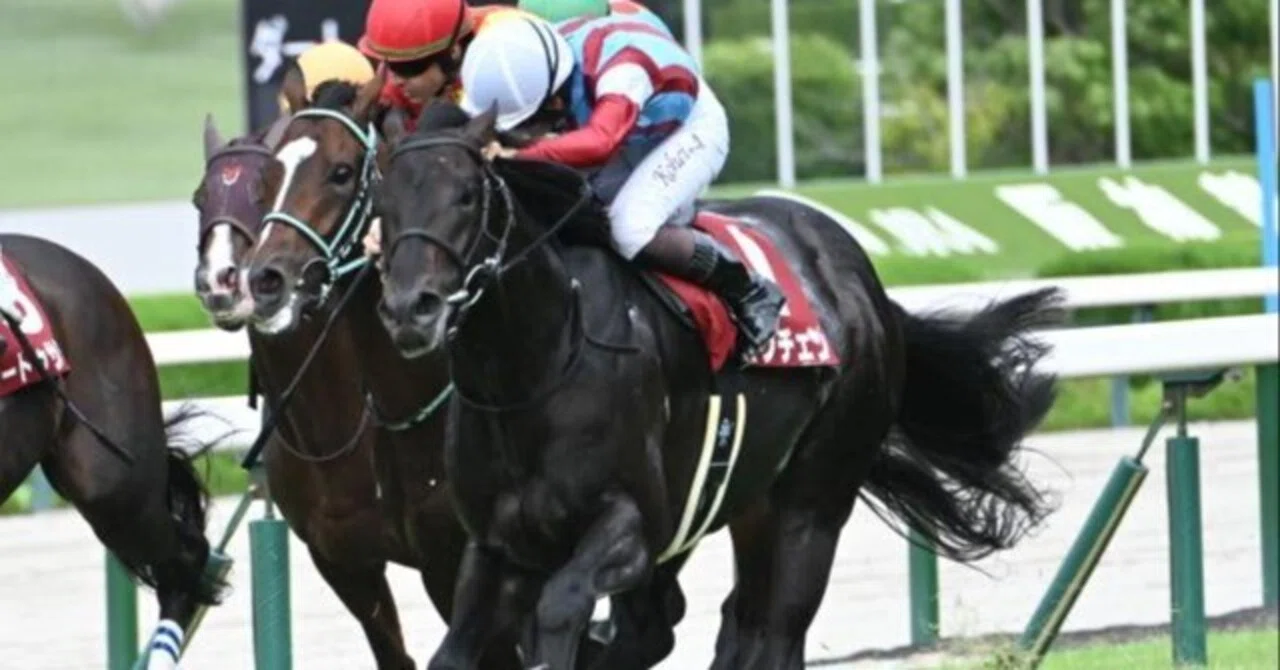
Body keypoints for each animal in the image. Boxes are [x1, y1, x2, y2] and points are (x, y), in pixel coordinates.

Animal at [372, 99, 1064, 670]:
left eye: (467, 195)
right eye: (385, 203)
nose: (411, 310)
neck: (537, 365)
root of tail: (863, 283)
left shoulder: (632, 527)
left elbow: (562, 608)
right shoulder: (496, 546)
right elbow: (456, 651)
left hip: (812, 501)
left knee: (776, 632)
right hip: (749, 504)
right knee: (732, 622)